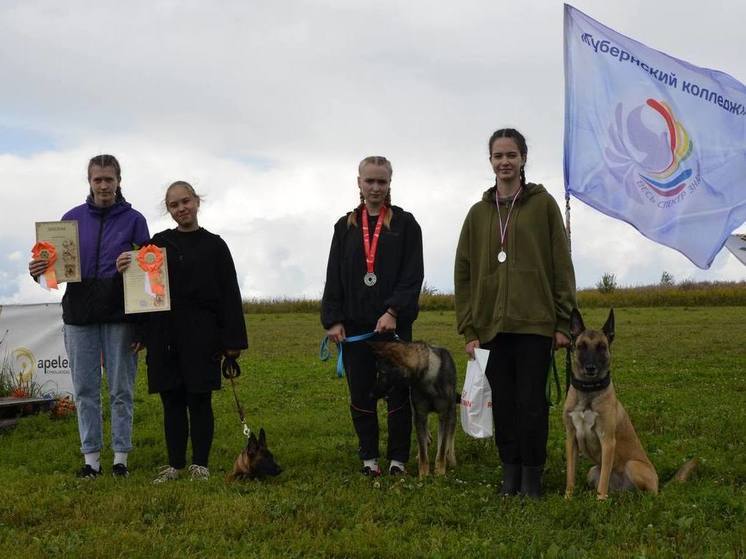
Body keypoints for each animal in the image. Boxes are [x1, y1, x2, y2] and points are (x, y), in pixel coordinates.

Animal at [368, 342, 456, 476]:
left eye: (383, 373)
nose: (370, 394)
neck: (427, 376)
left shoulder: (444, 416)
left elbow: (441, 449)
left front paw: (440, 473)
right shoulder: (420, 415)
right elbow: (423, 451)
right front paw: (424, 475)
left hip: (451, 413)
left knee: (450, 437)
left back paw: (450, 457)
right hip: (416, 415)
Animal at [564, 308, 696, 500]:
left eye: (602, 347)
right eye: (581, 346)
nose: (590, 368)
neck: (588, 391)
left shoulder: (607, 441)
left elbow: (603, 481)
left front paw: (600, 502)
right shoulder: (571, 439)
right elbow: (570, 476)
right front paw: (568, 498)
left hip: (632, 465)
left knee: (648, 494)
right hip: (592, 471)